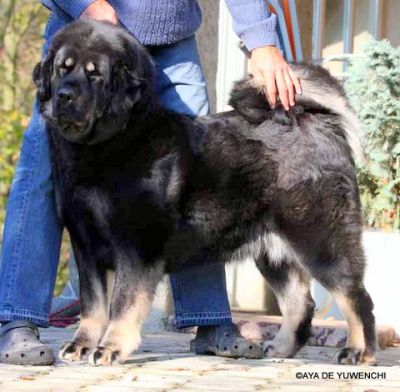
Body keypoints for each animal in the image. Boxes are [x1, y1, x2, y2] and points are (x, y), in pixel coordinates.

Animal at [33, 20, 376, 364]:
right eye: (62, 69)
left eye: (95, 74)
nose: (64, 95)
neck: (106, 146)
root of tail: (318, 121)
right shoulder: (86, 244)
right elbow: (92, 305)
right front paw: (81, 344)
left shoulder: (136, 247)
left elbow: (123, 303)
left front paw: (110, 347)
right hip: (272, 252)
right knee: (300, 303)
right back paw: (280, 348)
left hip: (320, 241)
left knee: (357, 297)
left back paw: (359, 351)